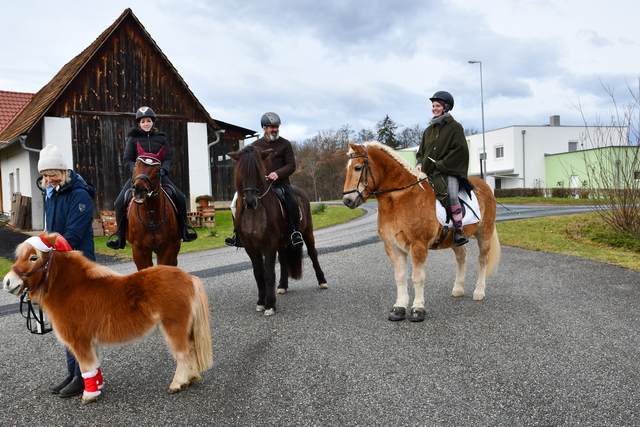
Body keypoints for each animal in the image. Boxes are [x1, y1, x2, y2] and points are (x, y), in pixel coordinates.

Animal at [2, 234, 212, 404]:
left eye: (33, 257)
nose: (7, 282)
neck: (72, 290)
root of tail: (189, 278)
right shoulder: (90, 342)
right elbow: (94, 367)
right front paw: (97, 387)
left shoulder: (80, 342)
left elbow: (86, 367)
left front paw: (89, 396)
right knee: (192, 350)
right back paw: (191, 378)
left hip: (174, 327)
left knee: (184, 353)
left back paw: (178, 383)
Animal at [229, 145, 328, 316]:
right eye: (241, 173)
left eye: (259, 171)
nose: (250, 202)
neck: (255, 212)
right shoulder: (250, 246)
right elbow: (258, 274)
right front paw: (261, 302)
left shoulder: (269, 243)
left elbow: (268, 273)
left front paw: (270, 305)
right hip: (282, 241)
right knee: (283, 259)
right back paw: (282, 286)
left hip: (307, 232)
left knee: (313, 254)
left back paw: (322, 281)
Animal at [342, 142, 502, 322]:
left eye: (357, 167)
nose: (347, 201)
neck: (399, 198)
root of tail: (484, 185)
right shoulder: (393, 248)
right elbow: (400, 277)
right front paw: (399, 307)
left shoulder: (418, 246)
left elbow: (417, 278)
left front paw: (417, 309)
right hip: (457, 238)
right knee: (461, 257)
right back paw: (458, 289)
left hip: (484, 232)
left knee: (483, 259)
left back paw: (479, 291)